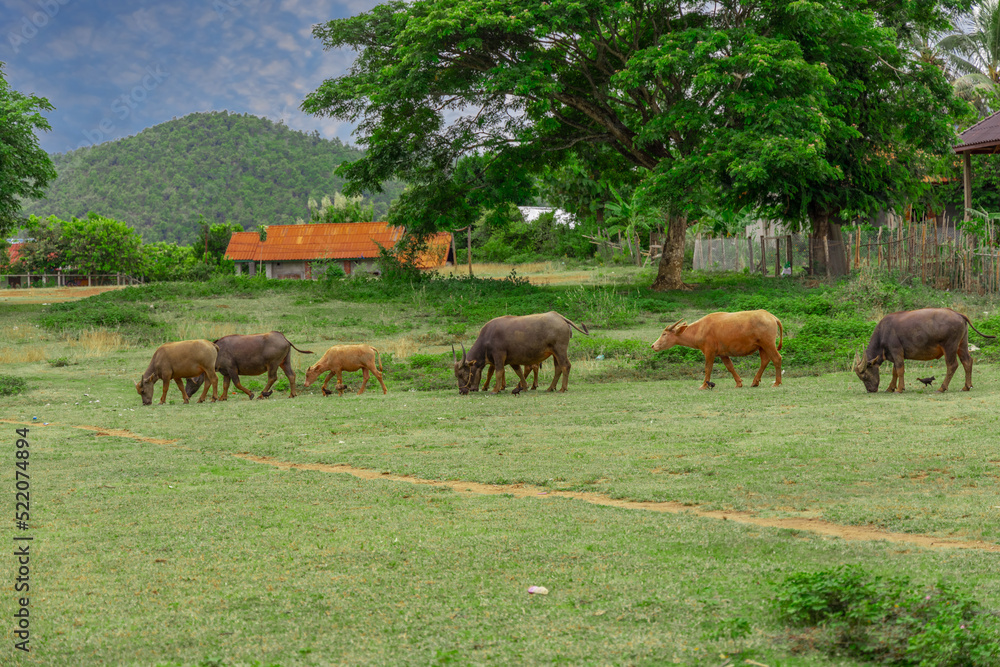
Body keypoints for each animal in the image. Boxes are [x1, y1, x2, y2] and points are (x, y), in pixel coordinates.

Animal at [454, 310, 584, 394]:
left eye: (462, 374)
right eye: (456, 375)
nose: (461, 391)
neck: (487, 338)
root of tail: (560, 317)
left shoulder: (499, 356)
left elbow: (498, 372)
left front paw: (495, 390)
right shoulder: (512, 360)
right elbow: (519, 372)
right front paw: (524, 387)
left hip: (560, 350)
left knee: (565, 366)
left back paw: (562, 388)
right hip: (554, 353)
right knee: (557, 368)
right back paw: (550, 388)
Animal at [652, 310, 784, 388]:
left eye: (664, 334)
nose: (653, 345)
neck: (700, 329)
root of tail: (771, 316)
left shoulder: (709, 352)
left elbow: (708, 368)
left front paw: (704, 385)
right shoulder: (723, 354)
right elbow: (730, 367)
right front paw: (738, 383)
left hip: (768, 344)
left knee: (777, 358)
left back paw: (777, 382)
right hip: (762, 347)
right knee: (765, 361)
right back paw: (755, 381)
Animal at [852, 310, 992, 394]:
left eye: (864, 376)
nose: (870, 390)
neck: (884, 332)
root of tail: (958, 314)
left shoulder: (897, 352)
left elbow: (900, 370)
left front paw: (899, 389)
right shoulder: (895, 355)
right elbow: (894, 372)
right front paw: (890, 388)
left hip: (950, 347)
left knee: (952, 365)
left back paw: (942, 388)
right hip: (962, 344)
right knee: (967, 361)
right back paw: (966, 386)